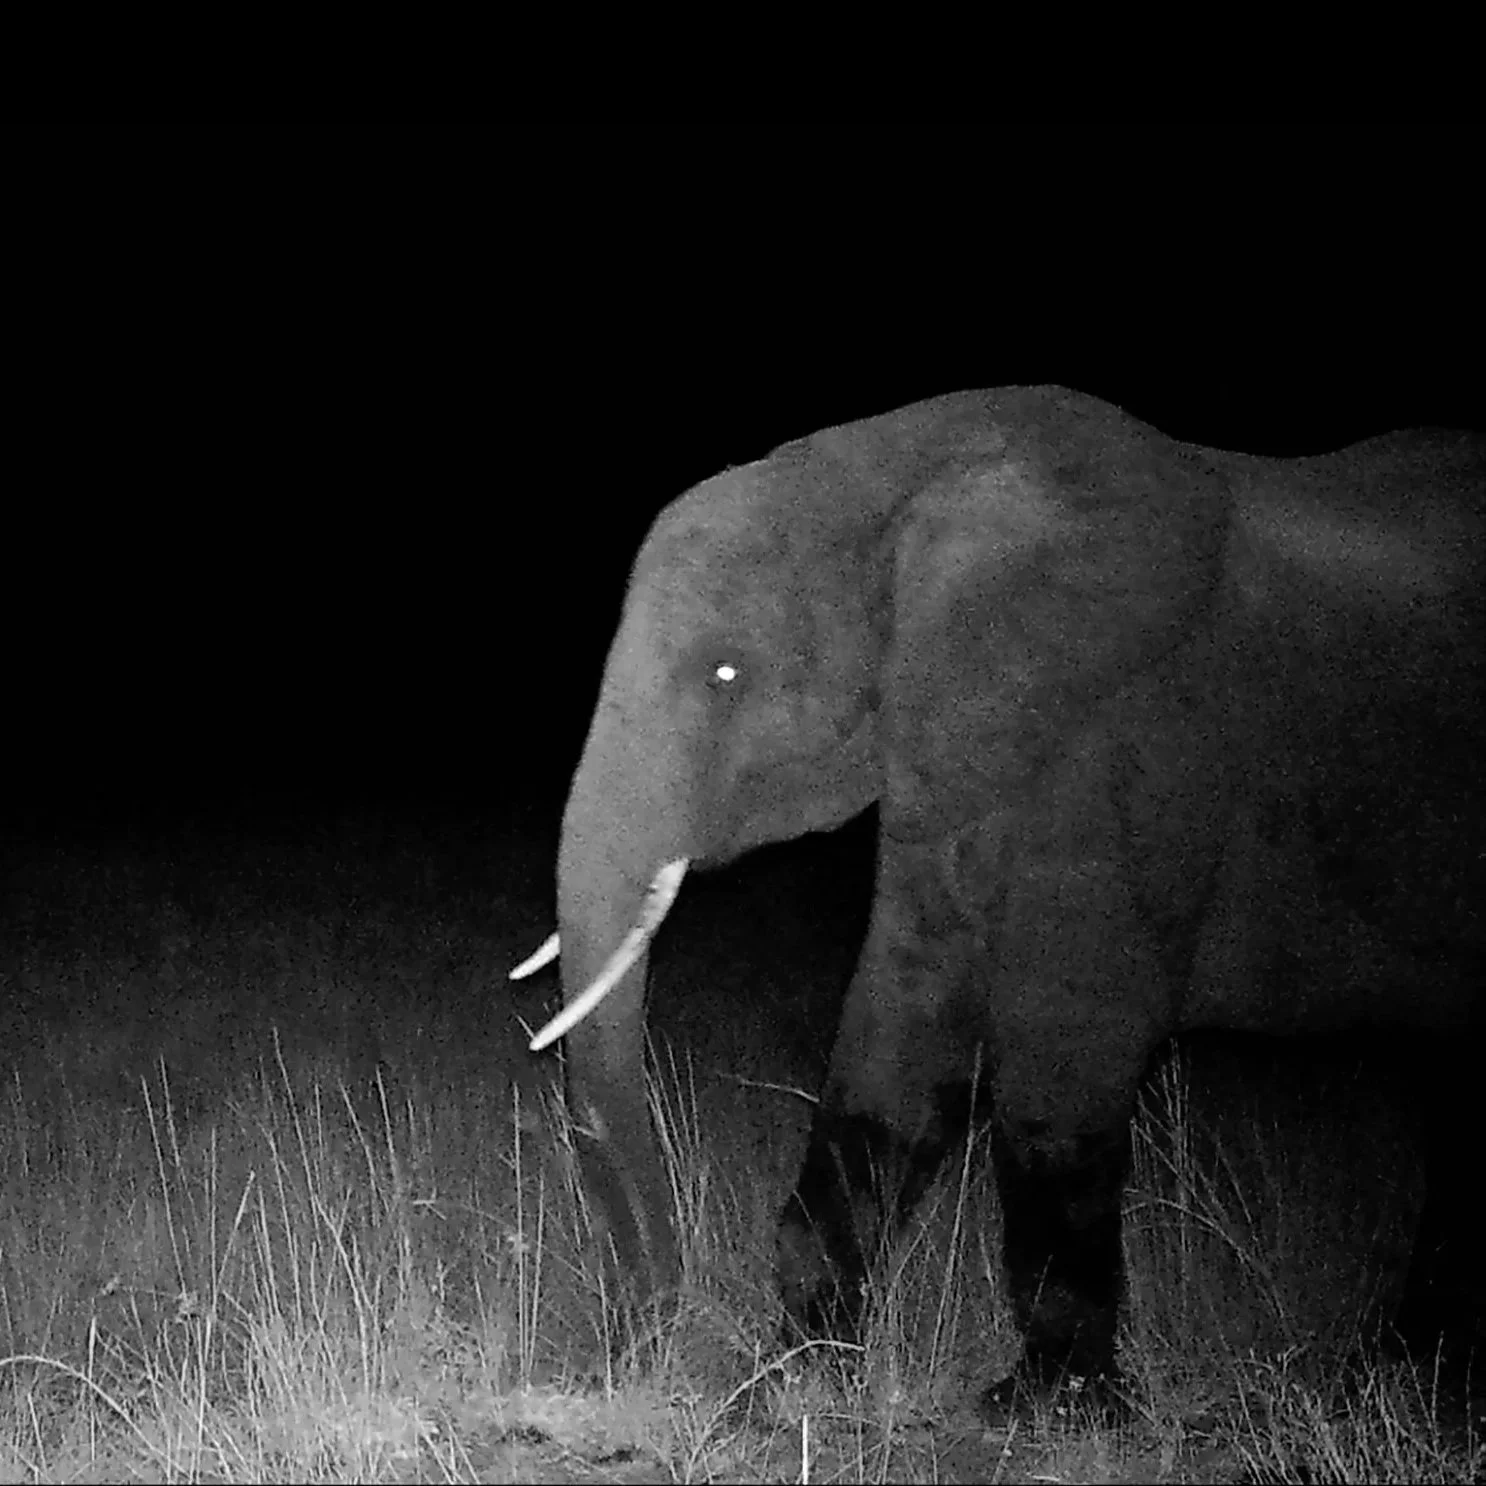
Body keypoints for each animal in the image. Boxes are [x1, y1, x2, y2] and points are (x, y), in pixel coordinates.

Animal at [514, 385, 1483, 1403]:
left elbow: (1067, 1055)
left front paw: (1046, 1406)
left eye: (727, 673)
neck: (900, 475)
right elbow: (901, 1031)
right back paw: (1409, 1372)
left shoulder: (1125, 747)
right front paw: (799, 1375)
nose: (647, 1335)